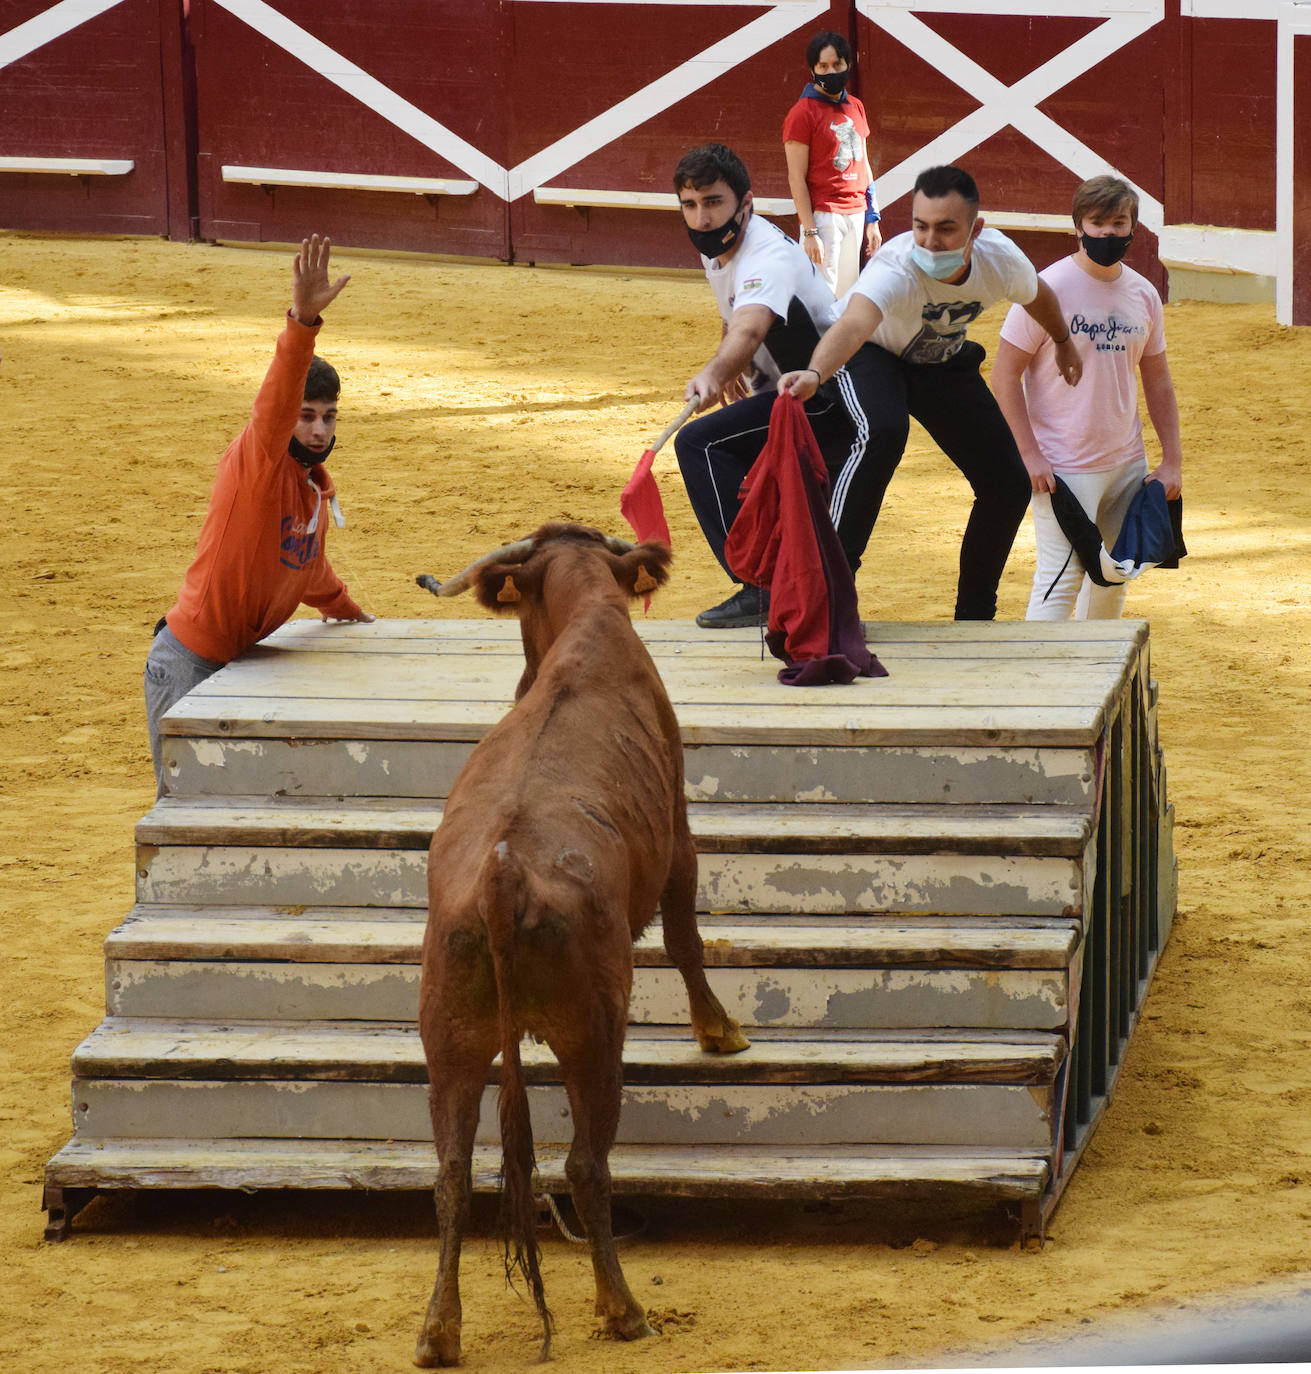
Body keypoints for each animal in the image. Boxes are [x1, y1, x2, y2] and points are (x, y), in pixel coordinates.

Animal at [415, 522, 753, 1363]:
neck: (588, 621)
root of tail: (503, 877)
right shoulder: (679, 838)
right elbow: (686, 936)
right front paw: (719, 1030)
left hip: (450, 1037)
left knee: (451, 1171)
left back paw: (438, 1332)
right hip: (594, 1034)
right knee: (586, 1163)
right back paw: (623, 1309)